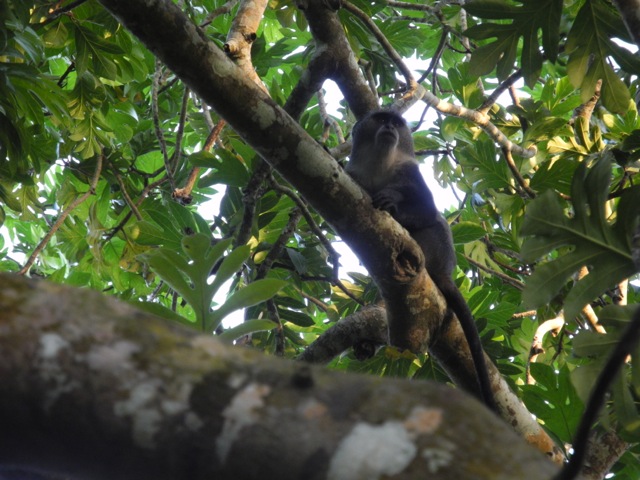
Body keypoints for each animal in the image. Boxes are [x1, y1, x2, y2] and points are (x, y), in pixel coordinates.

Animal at [344, 109, 500, 412]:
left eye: (396, 122)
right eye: (381, 119)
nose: (391, 126)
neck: (380, 163)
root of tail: (445, 271)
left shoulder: (409, 172)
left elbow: (427, 210)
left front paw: (392, 203)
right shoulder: (351, 174)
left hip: (435, 249)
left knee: (436, 224)